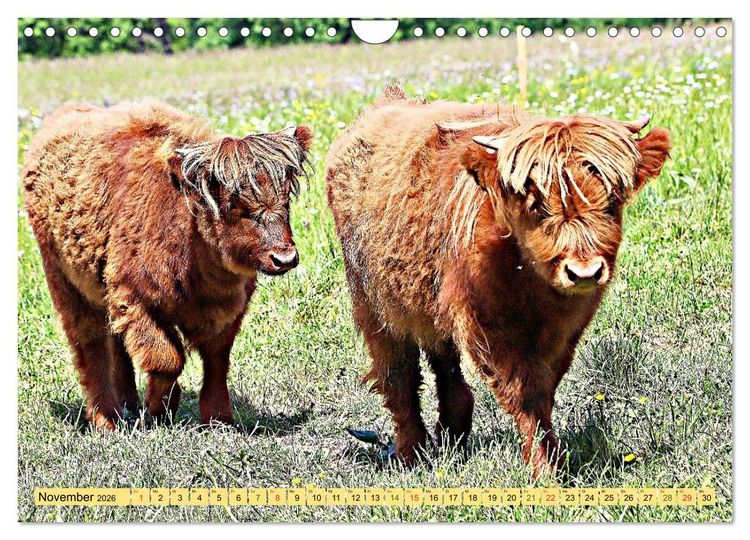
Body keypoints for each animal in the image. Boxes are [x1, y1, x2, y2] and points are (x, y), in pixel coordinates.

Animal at [22, 100, 312, 430]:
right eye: (233, 204)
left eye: (285, 198)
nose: (284, 258)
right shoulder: (135, 300)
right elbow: (167, 359)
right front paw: (160, 408)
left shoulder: (227, 311)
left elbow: (216, 361)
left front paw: (218, 419)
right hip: (66, 284)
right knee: (90, 346)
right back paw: (107, 420)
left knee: (115, 345)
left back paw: (127, 403)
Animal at [325, 86, 670, 476]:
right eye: (537, 205)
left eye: (611, 201)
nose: (584, 272)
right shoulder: (488, 327)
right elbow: (524, 393)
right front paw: (544, 467)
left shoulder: (565, 330)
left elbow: (544, 387)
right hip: (374, 306)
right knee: (399, 376)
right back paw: (410, 453)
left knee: (443, 361)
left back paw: (452, 433)